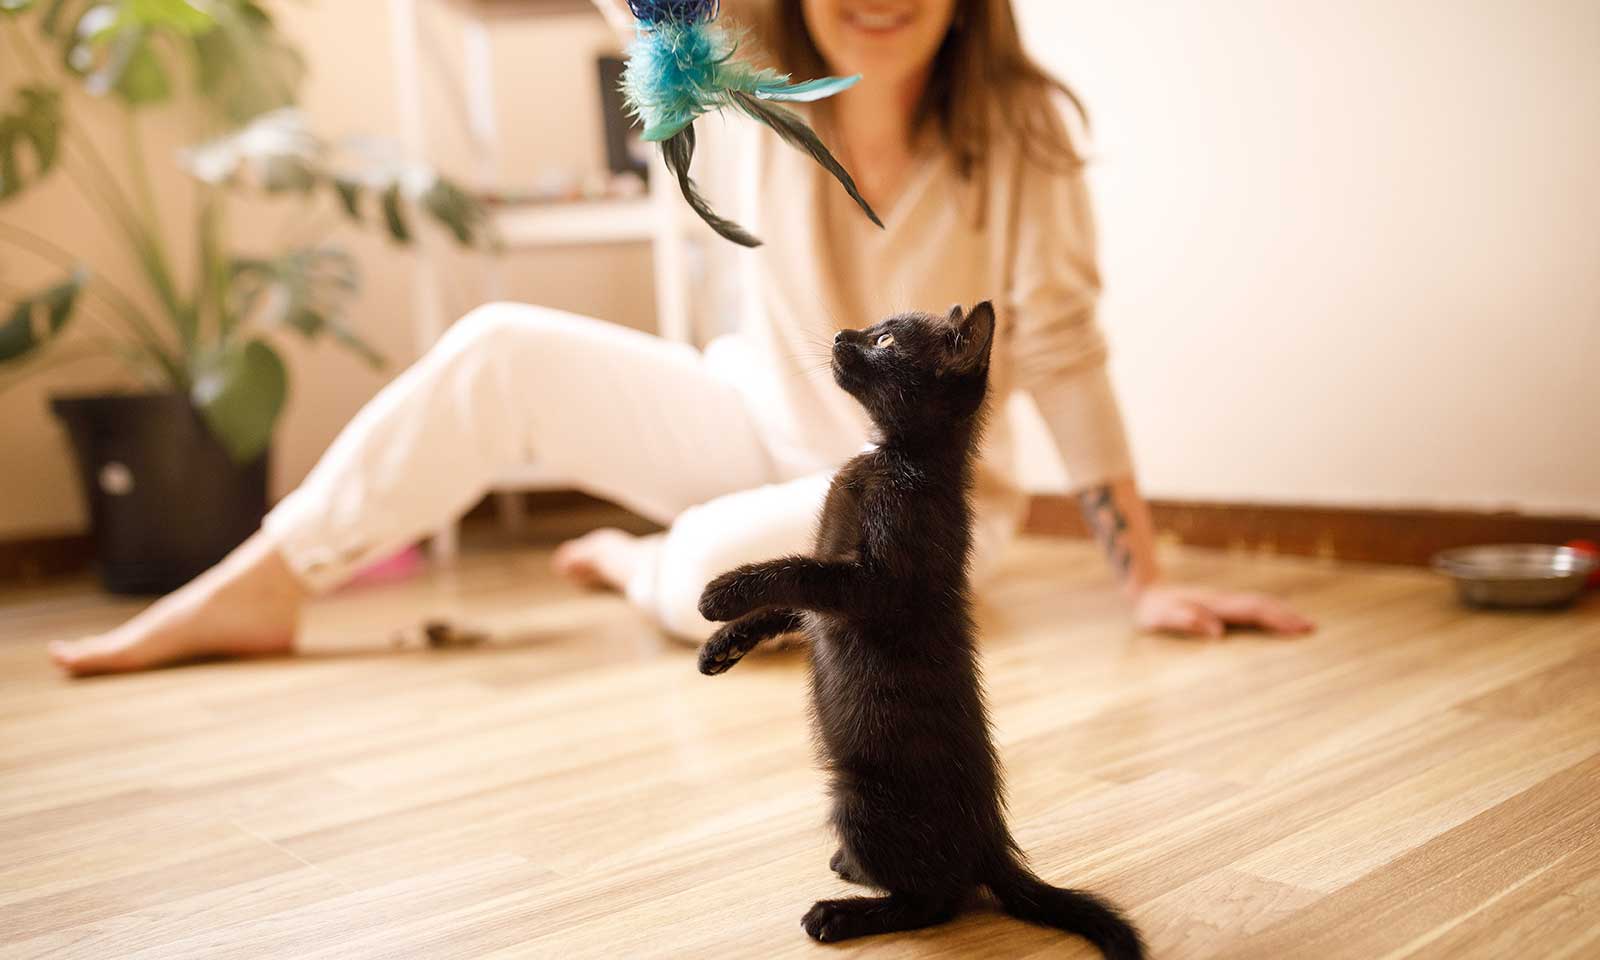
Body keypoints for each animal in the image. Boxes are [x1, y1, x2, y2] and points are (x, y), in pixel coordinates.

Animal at [694, 302, 1145, 960]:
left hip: (862, 798)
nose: (841, 335)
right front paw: (722, 645)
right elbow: (791, 603)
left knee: (936, 902)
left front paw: (722, 592)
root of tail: (989, 838)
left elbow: (798, 572)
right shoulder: (831, 580)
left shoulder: (877, 582)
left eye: (884, 341)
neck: (895, 459)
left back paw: (841, 912)